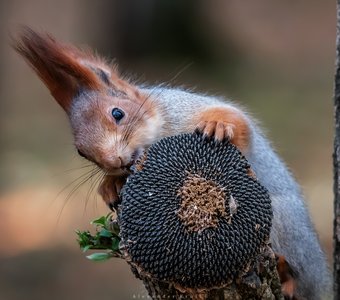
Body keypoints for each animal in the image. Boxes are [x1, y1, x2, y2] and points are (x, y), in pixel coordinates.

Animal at [12, 27, 330, 298]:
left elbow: (239, 123)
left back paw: (287, 274)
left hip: (285, 226)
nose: (115, 161)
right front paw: (110, 185)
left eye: (117, 113)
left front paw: (216, 125)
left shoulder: (185, 109)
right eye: (81, 152)